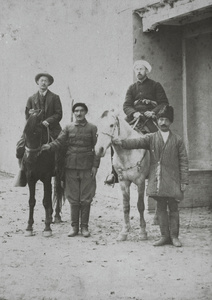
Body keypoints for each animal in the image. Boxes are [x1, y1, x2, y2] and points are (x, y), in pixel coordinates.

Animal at [95, 110, 150, 241]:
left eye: (111, 125)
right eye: (98, 126)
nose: (99, 149)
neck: (129, 151)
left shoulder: (140, 182)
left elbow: (140, 205)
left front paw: (143, 232)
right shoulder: (123, 182)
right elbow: (126, 206)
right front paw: (124, 232)